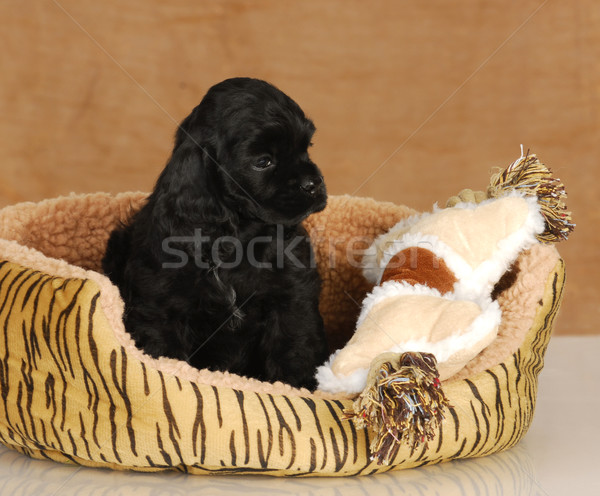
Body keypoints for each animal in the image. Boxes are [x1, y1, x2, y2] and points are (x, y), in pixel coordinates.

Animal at [103, 77, 328, 390]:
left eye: (307, 147)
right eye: (263, 162)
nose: (313, 183)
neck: (238, 237)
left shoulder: (292, 299)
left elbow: (294, 348)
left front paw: (296, 388)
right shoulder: (162, 307)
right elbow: (166, 352)